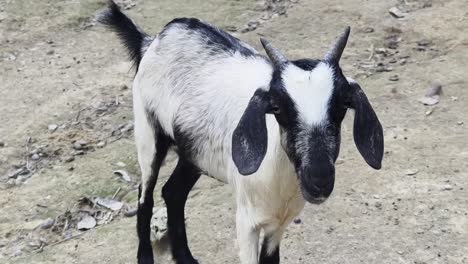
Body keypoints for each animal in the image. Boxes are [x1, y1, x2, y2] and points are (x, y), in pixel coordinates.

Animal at [99, 1, 384, 262]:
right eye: (277, 107)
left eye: (342, 105)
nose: (319, 178)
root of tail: (152, 40)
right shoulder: (246, 223)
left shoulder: (278, 224)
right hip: (148, 133)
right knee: (145, 196)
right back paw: (145, 256)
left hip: (194, 152)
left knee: (173, 192)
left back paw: (185, 258)